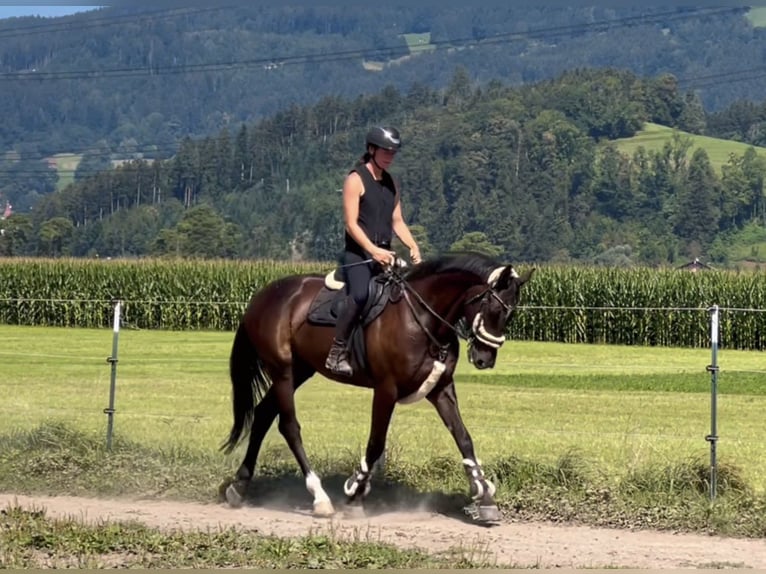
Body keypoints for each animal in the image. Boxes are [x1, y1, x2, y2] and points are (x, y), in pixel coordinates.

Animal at [219, 250, 536, 524]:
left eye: (511, 314)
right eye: (492, 307)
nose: (485, 359)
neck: (422, 317)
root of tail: (264, 294)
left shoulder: (441, 390)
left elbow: (464, 438)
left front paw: (484, 497)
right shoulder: (386, 390)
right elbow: (376, 443)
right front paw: (356, 495)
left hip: (300, 370)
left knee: (262, 415)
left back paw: (239, 486)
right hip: (283, 371)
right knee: (288, 426)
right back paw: (319, 498)